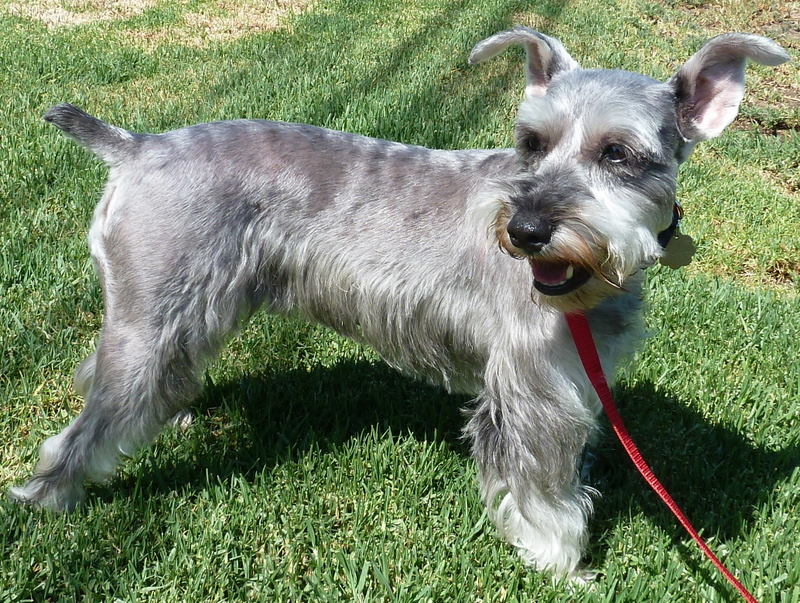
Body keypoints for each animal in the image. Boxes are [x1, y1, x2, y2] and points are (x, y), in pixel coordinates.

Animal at [10, 28, 788, 580]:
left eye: (617, 154)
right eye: (531, 142)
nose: (524, 229)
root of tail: (136, 148)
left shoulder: (576, 377)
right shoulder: (531, 390)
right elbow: (539, 486)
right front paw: (560, 563)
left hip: (178, 313)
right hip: (152, 317)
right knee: (83, 424)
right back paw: (47, 498)